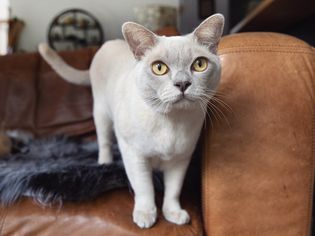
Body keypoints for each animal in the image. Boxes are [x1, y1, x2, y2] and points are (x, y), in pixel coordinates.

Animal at [39, 13, 225, 229]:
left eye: (199, 64)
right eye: (159, 68)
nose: (182, 84)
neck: (171, 122)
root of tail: (107, 44)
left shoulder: (180, 159)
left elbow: (173, 190)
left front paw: (173, 214)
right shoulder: (134, 155)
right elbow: (144, 188)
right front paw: (146, 216)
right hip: (101, 115)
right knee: (104, 143)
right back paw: (105, 164)